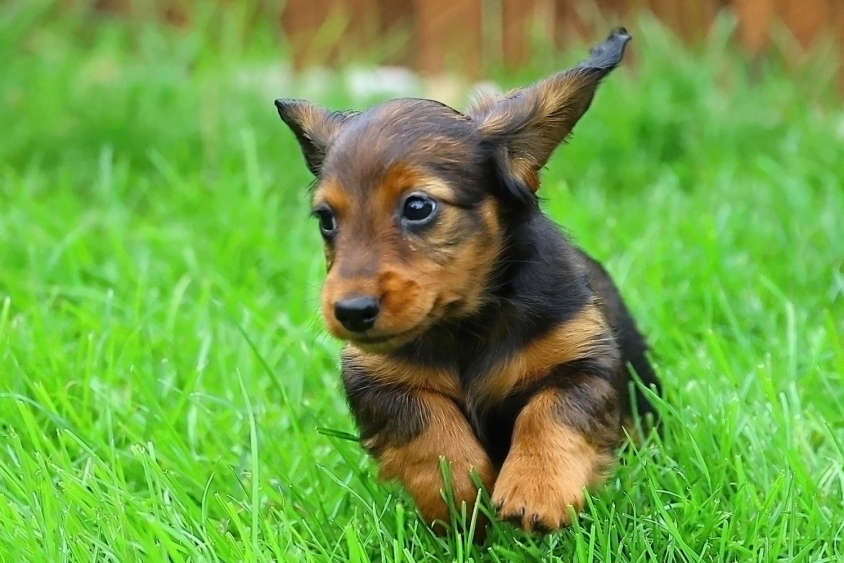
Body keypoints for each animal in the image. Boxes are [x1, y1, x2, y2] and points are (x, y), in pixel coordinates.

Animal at [274, 27, 661, 538]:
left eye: (418, 207)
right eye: (326, 219)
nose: (351, 313)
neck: (465, 324)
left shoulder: (584, 362)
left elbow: (549, 411)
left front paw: (536, 490)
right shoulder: (378, 380)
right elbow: (428, 427)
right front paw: (459, 495)